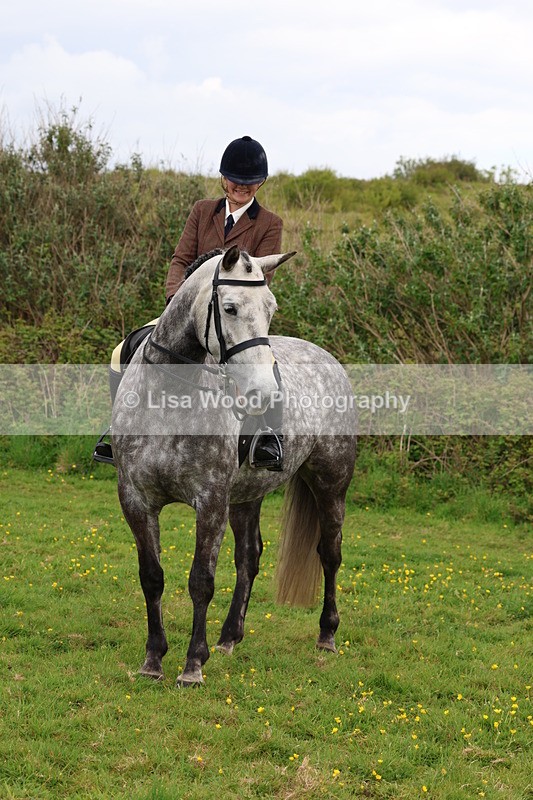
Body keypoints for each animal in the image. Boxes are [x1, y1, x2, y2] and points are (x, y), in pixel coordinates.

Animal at [112, 245, 357, 686]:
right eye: (229, 308)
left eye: (271, 308)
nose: (264, 393)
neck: (168, 398)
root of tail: (325, 356)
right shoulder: (136, 499)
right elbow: (151, 577)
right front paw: (153, 660)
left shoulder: (210, 501)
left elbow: (201, 581)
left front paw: (193, 666)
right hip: (246, 495)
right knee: (249, 558)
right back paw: (229, 637)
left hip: (331, 484)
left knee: (329, 553)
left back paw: (327, 635)